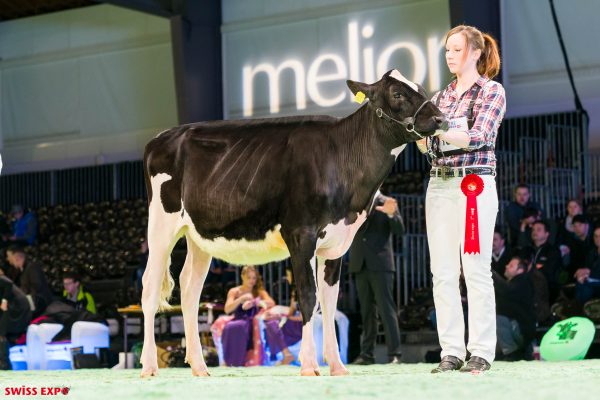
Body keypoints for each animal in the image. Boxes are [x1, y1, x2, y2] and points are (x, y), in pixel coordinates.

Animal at [140, 69, 445, 377]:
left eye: (421, 89)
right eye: (397, 94)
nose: (441, 118)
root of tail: (161, 138)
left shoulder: (336, 243)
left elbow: (329, 302)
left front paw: (337, 366)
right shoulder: (301, 234)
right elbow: (309, 297)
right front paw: (309, 364)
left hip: (198, 236)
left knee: (190, 290)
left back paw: (199, 366)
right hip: (161, 226)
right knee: (150, 288)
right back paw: (150, 365)